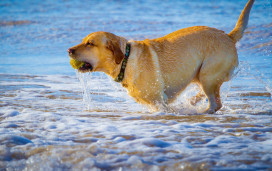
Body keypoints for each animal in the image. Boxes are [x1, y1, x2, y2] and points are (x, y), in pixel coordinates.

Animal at [68, 0, 255, 113]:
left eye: (90, 44)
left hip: (208, 74)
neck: (125, 61)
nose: (69, 50)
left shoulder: (159, 101)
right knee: (209, 95)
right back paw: (191, 103)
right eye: (83, 41)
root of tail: (228, 36)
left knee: (215, 103)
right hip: (202, 76)